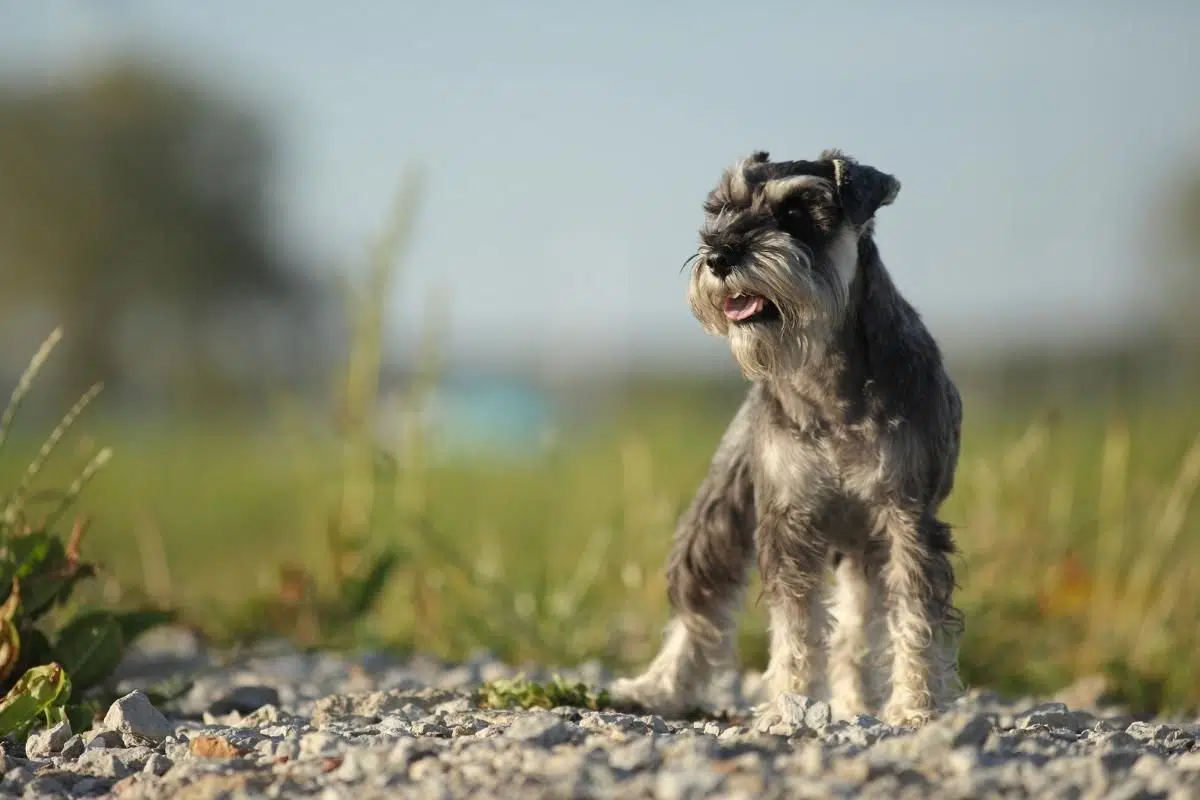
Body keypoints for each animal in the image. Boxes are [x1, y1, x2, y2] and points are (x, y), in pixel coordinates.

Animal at [614, 146, 969, 729]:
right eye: (723, 208)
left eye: (798, 211)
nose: (720, 256)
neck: (829, 381)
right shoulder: (788, 519)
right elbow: (795, 626)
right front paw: (788, 704)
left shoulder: (908, 518)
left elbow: (914, 616)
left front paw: (916, 707)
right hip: (721, 510)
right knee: (698, 597)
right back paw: (657, 686)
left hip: (863, 546)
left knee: (855, 630)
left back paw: (854, 703)